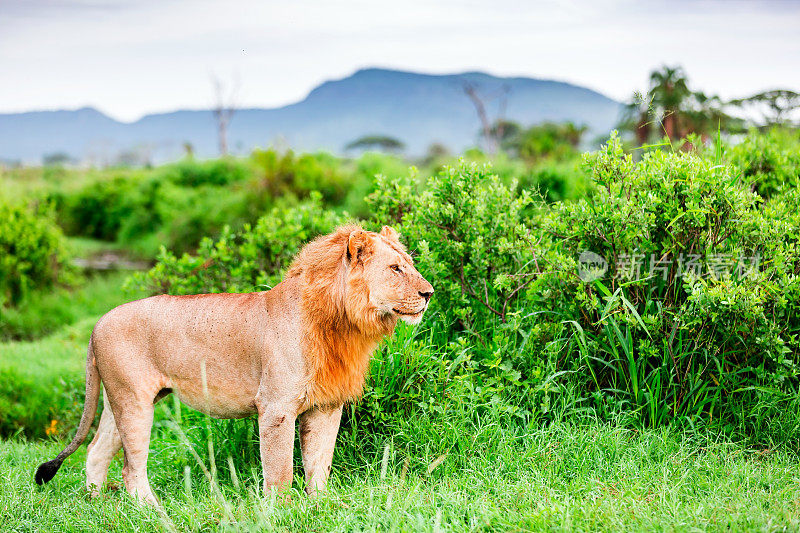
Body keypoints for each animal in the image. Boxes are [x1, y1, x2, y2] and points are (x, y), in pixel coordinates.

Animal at [32, 223, 432, 502]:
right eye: (396, 268)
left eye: (410, 265)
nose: (429, 293)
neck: (343, 323)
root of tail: (97, 323)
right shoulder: (276, 407)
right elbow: (281, 470)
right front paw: (282, 510)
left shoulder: (326, 406)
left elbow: (320, 465)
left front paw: (322, 506)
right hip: (133, 401)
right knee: (132, 469)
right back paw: (153, 511)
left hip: (121, 398)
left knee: (96, 452)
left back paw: (96, 503)